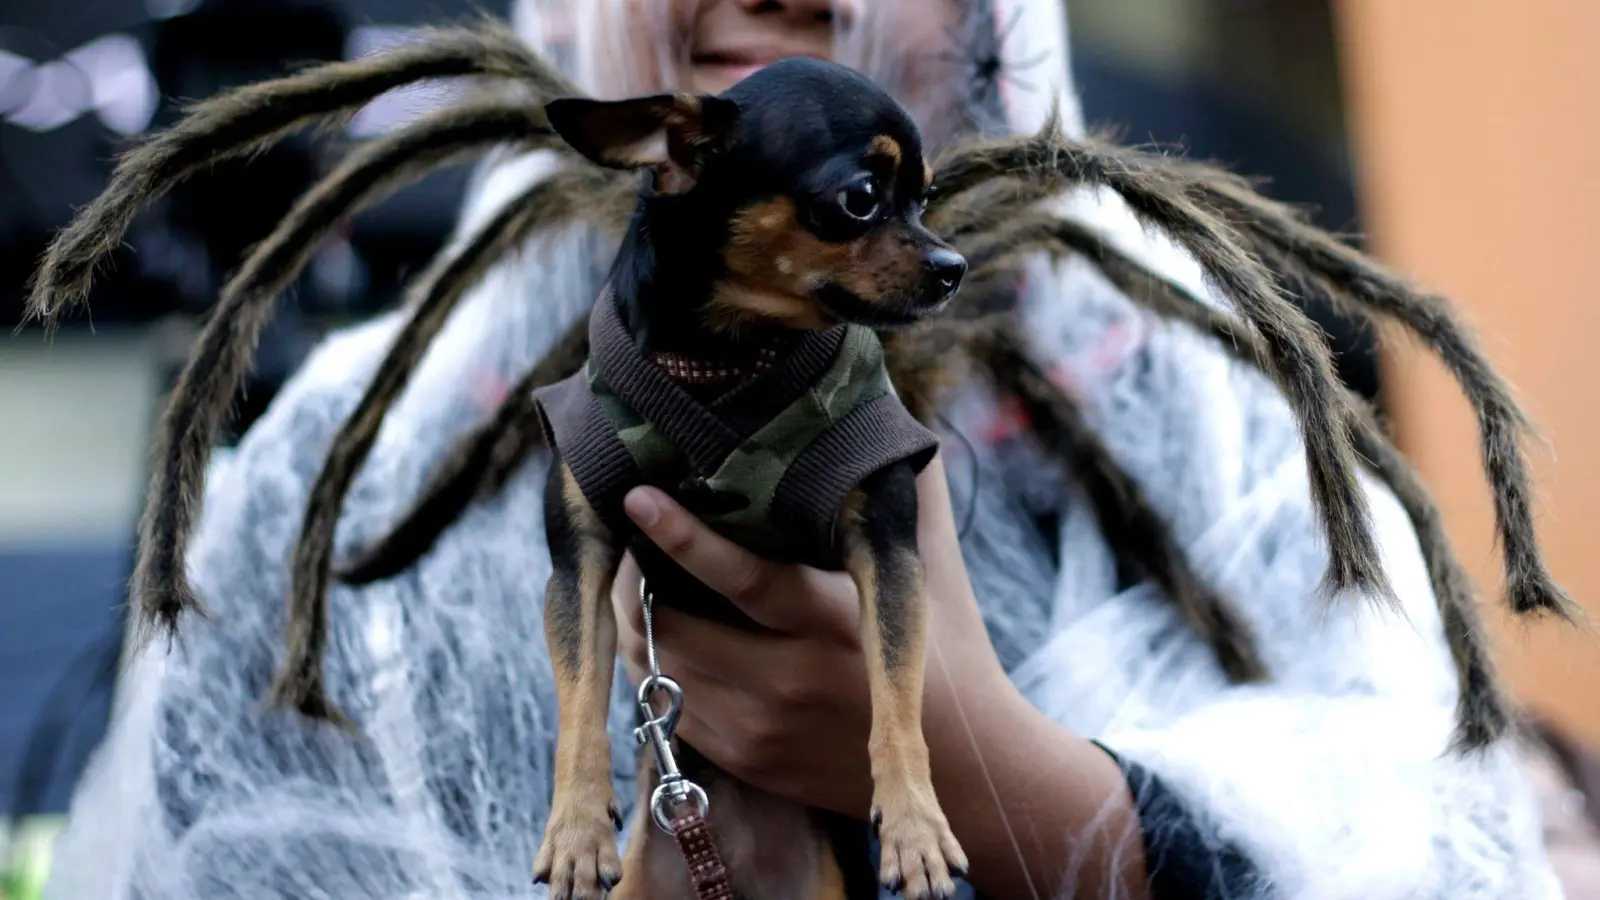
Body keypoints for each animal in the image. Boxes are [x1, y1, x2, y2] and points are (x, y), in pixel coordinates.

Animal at [531, 57, 966, 896]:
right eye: (860, 198)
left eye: (925, 197)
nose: (953, 266)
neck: (726, 356)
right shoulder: (581, 563)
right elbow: (578, 697)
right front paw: (575, 828)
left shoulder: (888, 549)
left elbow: (897, 695)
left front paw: (916, 824)